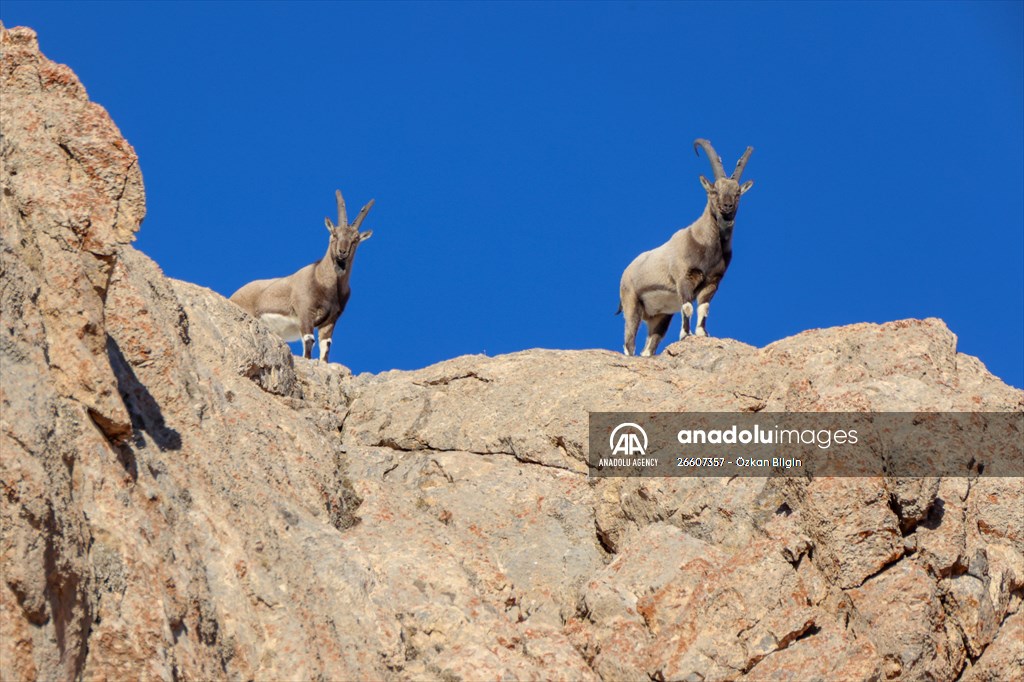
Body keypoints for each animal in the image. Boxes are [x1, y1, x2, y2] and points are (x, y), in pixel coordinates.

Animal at [230, 189, 374, 362]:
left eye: (356, 239)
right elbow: (308, 342)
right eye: (334, 234)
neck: (324, 282)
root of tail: (234, 295)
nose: (342, 252)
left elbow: (326, 347)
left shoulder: (331, 320)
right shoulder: (305, 312)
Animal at [618, 139, 753, 356]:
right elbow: (688, 307)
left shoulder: (712, 282)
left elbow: (703, 307)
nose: (727, 207)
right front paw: (685, 335)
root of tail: (626, 271)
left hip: (660, 316)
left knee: (649, 348)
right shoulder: (684, 278)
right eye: (714, 191)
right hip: (632, 303)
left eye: (738, 193)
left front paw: (702, 334)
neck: (706, 245)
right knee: (629, 343)